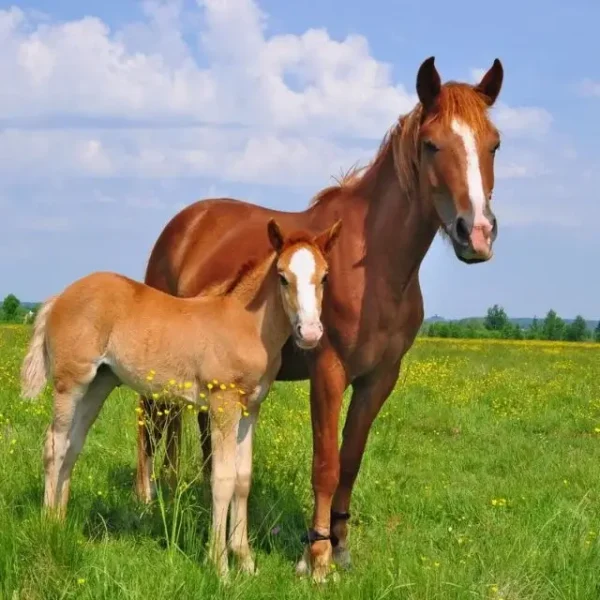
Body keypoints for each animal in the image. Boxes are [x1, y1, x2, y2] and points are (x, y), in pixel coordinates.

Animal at [21, 218, 340, 580]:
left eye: (325, 276)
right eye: (283, 276)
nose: (310, 333)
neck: (245, 324)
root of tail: (59, 296)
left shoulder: (251, 408)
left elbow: (243, 479)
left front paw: (245, 561)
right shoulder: (223, 405)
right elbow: (222, 479)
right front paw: (220, 567)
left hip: (99, 384)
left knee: (73, 444)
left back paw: (61, 521)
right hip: (71, 383)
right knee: (55, 444)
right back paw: (48, 525)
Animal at [135, 56, 502, 580]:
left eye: (494, 144)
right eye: (432, 144)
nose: (477, 234)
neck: (372, 265)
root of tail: (185, 224)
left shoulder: (379, 378)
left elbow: (350, 460)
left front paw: (341, 547)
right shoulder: (328, 371)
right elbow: (325, 463)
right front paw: (317, 558)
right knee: (150, 422)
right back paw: (150, 499)